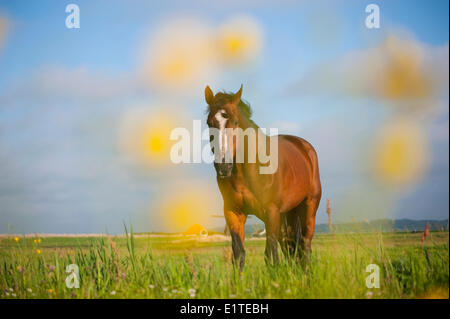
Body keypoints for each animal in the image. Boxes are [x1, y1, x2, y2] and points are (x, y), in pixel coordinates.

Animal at [206, 84, 322, 272]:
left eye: (235, 122)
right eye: (209, 123)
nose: (223, 166)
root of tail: (305, 147)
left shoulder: (271, 212)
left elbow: (271, 256)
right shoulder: (233, 213)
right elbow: (238, 254)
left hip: (309, 207)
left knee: (305, 245)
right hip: (287, 214)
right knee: (290, 247)